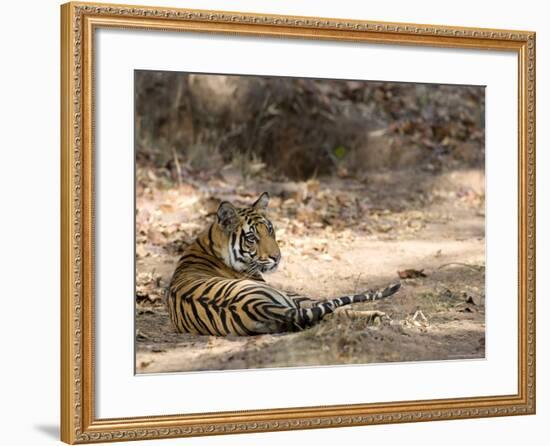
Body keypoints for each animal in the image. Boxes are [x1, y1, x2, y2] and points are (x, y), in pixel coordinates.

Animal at [166, 191, 404, 334]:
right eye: (252, 237)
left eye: (270, 230)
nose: (277, 257)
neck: (209, 242)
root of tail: (258, 306)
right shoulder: (296, 296)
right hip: (290, 299)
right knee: (332, 311)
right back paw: (377, 316)